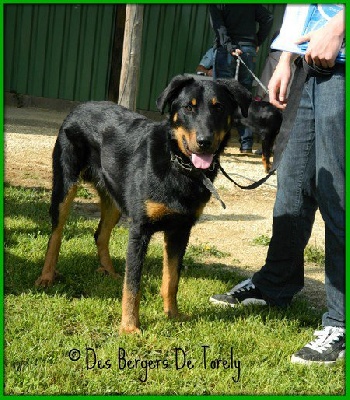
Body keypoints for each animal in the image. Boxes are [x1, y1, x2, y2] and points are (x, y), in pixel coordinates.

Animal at [35, 74, 280, 332]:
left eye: (219, 107)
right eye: (188, 107)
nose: (204, 141)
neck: (179, 165)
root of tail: (79, 107)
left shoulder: (180, 230)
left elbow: (171, 279)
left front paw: (173, 315)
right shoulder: (139, 230)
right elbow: (133, 284)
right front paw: (130, 327)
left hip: (115, 200)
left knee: (100, 234)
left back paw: (109, 272)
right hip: (65, 187)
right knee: (56, 234)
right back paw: (47, 276)